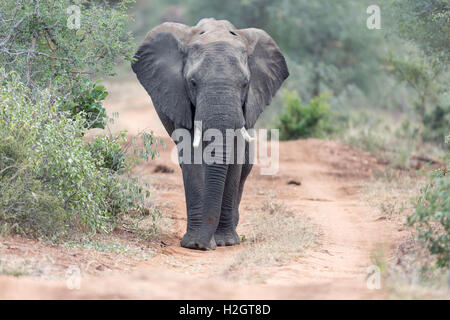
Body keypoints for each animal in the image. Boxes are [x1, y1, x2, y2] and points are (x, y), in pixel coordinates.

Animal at [132, 18, 290, 250]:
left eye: (245, 84)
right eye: (192, 83)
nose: (203, 244)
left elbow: (235, 157)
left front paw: (225, 242)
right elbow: (191, 157)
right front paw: (193, 244)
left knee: (245, 167)